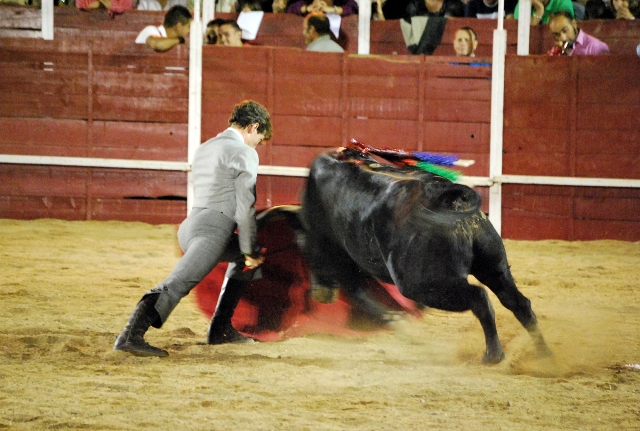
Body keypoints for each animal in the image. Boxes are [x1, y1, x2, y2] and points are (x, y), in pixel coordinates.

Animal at [298, 148, 552, 364]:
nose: (320, 293)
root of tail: (451, 200)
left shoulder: (339, 257)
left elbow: (357, 292)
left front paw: (397, 321)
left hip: (420, 284)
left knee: (479, 296)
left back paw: (493, 355)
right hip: (493, 265)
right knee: (518, 303)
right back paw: (544, 355)